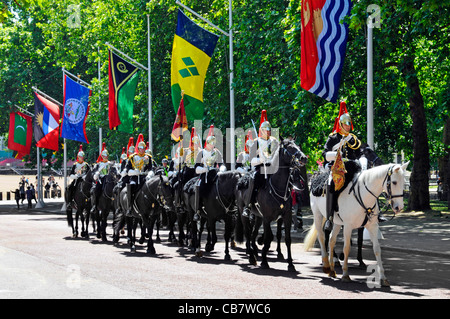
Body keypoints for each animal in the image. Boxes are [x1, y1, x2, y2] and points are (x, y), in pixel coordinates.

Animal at [236, 139, 306, 272]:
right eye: (289, 148)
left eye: (298, 147)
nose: (304, 158)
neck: (278, 187)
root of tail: (241, 181)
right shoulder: (267, 218)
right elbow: (268, 239)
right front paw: (264, 261)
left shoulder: (285, 217)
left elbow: (286, 239)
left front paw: (290, 264)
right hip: (244, 214)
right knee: (247, 232)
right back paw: (251, 256)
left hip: (258, 217)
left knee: (253, 233)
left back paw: (254, 251)